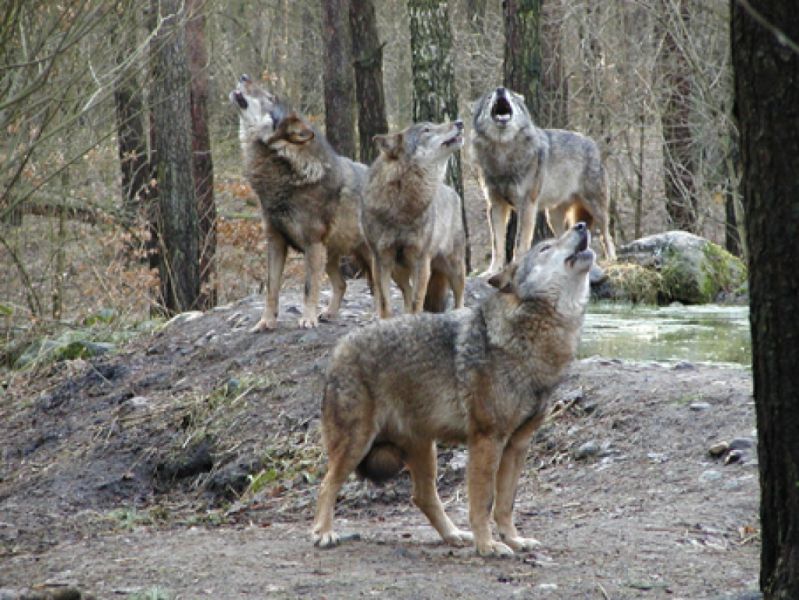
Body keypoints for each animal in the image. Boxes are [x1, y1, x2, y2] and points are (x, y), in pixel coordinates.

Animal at [228, 75, 372, 330]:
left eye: (270, 98)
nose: (244, 76)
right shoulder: (275, 242)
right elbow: (271, 289)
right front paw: (266, 322)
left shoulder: (312, 244)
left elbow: (308, 287)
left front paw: (307, 319)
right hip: (330, 257)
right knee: (342, 284)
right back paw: (330, 313)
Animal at [312, 221, 592, 556]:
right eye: (546, 247)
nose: (582, 225)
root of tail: (338, 350)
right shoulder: (487, 440)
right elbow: (483, 503)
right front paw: (489, 546)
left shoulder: (517, 445)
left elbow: (505, 504)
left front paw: (513, 540)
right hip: (357, 444)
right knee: (327, 485)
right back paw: (324, 533)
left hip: (424, 449)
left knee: (422, 496)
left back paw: (454, 535)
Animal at [360, 118, 466, 318]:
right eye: (427, 130)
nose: (459, 122)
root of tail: (452, 191)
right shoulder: (381, 260)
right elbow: (385, 302)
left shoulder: (421, 261)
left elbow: (418, 300)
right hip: (398, 271)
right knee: (407, 292)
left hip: (454, 267)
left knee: (459, 296)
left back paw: (459, 312)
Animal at [476, 86, 620, 274]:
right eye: (489, 97)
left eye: (512, 96)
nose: (500, 89)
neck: (503, 151)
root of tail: (592, 143)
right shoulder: (496, 205)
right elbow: (497, 244)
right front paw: (493, 270)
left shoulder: (526, 205)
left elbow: (519, 243)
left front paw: (515, 267)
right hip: (552, 217)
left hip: (595, 208)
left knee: (606, 235)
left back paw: (611, 259)